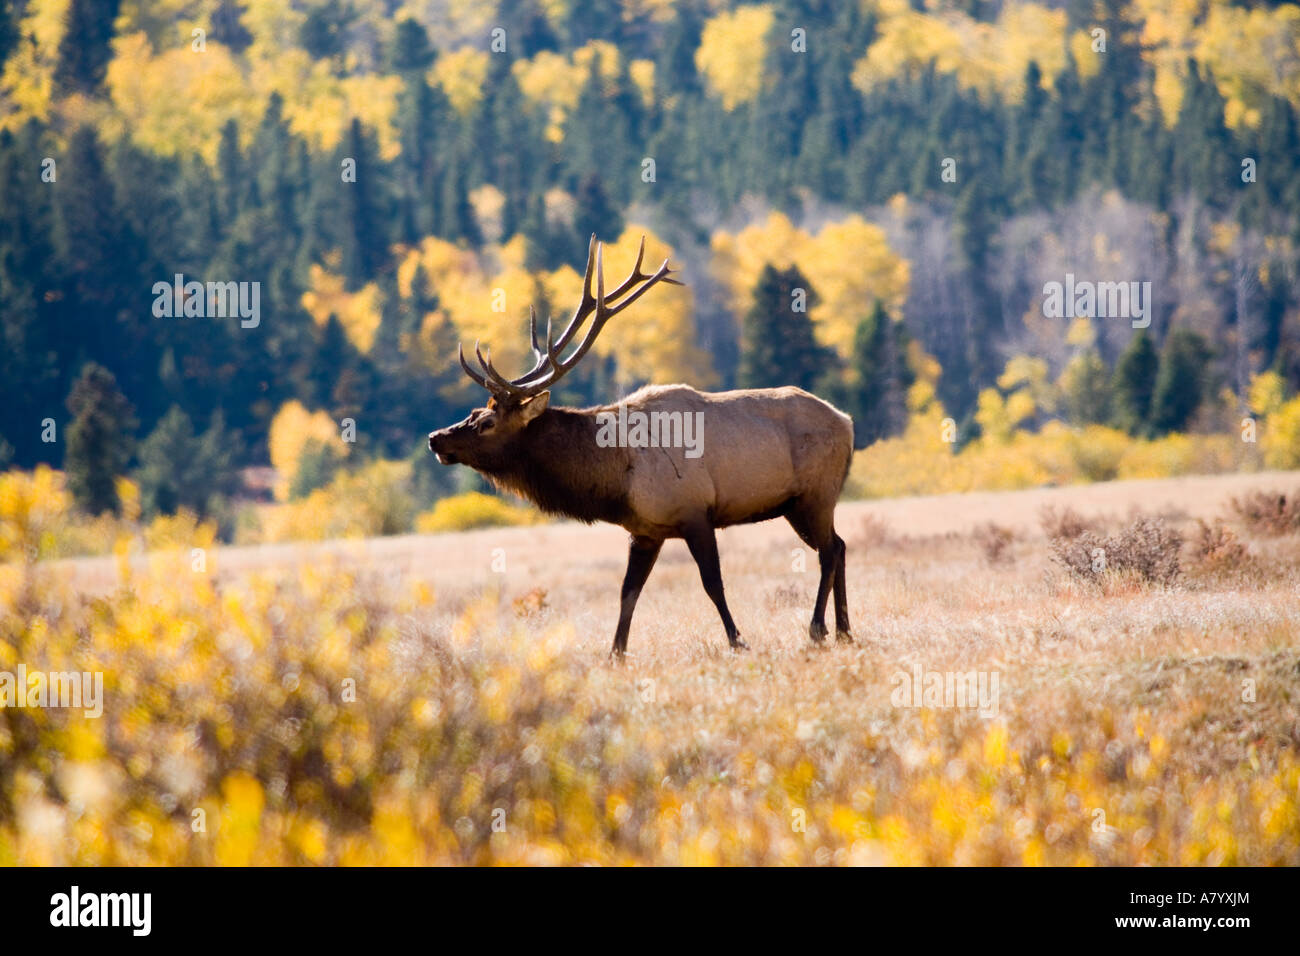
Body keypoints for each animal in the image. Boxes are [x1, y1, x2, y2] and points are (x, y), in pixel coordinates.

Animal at [428, 236, 855, 658]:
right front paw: (615, 653)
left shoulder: (695, 512)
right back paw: (845, 631)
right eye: (472, 412)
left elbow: (712, 583)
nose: (436, 438)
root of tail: (848, 422)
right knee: (839, 545)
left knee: (828, 551)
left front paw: (738, 640)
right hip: (801, 503)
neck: (616, 476)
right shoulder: (645, 530)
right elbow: (628, 592)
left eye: (487, 423)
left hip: (815, 494)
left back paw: (818, 629)